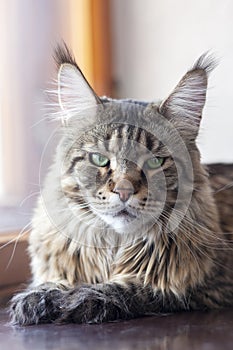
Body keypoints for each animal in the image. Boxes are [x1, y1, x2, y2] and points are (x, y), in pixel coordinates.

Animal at [10, 44, 233, 326]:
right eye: (100, 159)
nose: (124, 191)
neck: (114, 245)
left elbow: (126, 289)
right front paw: (41, 296)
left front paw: (72, 300)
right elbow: (52, 282)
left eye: (154, 162)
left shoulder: (202, 287)